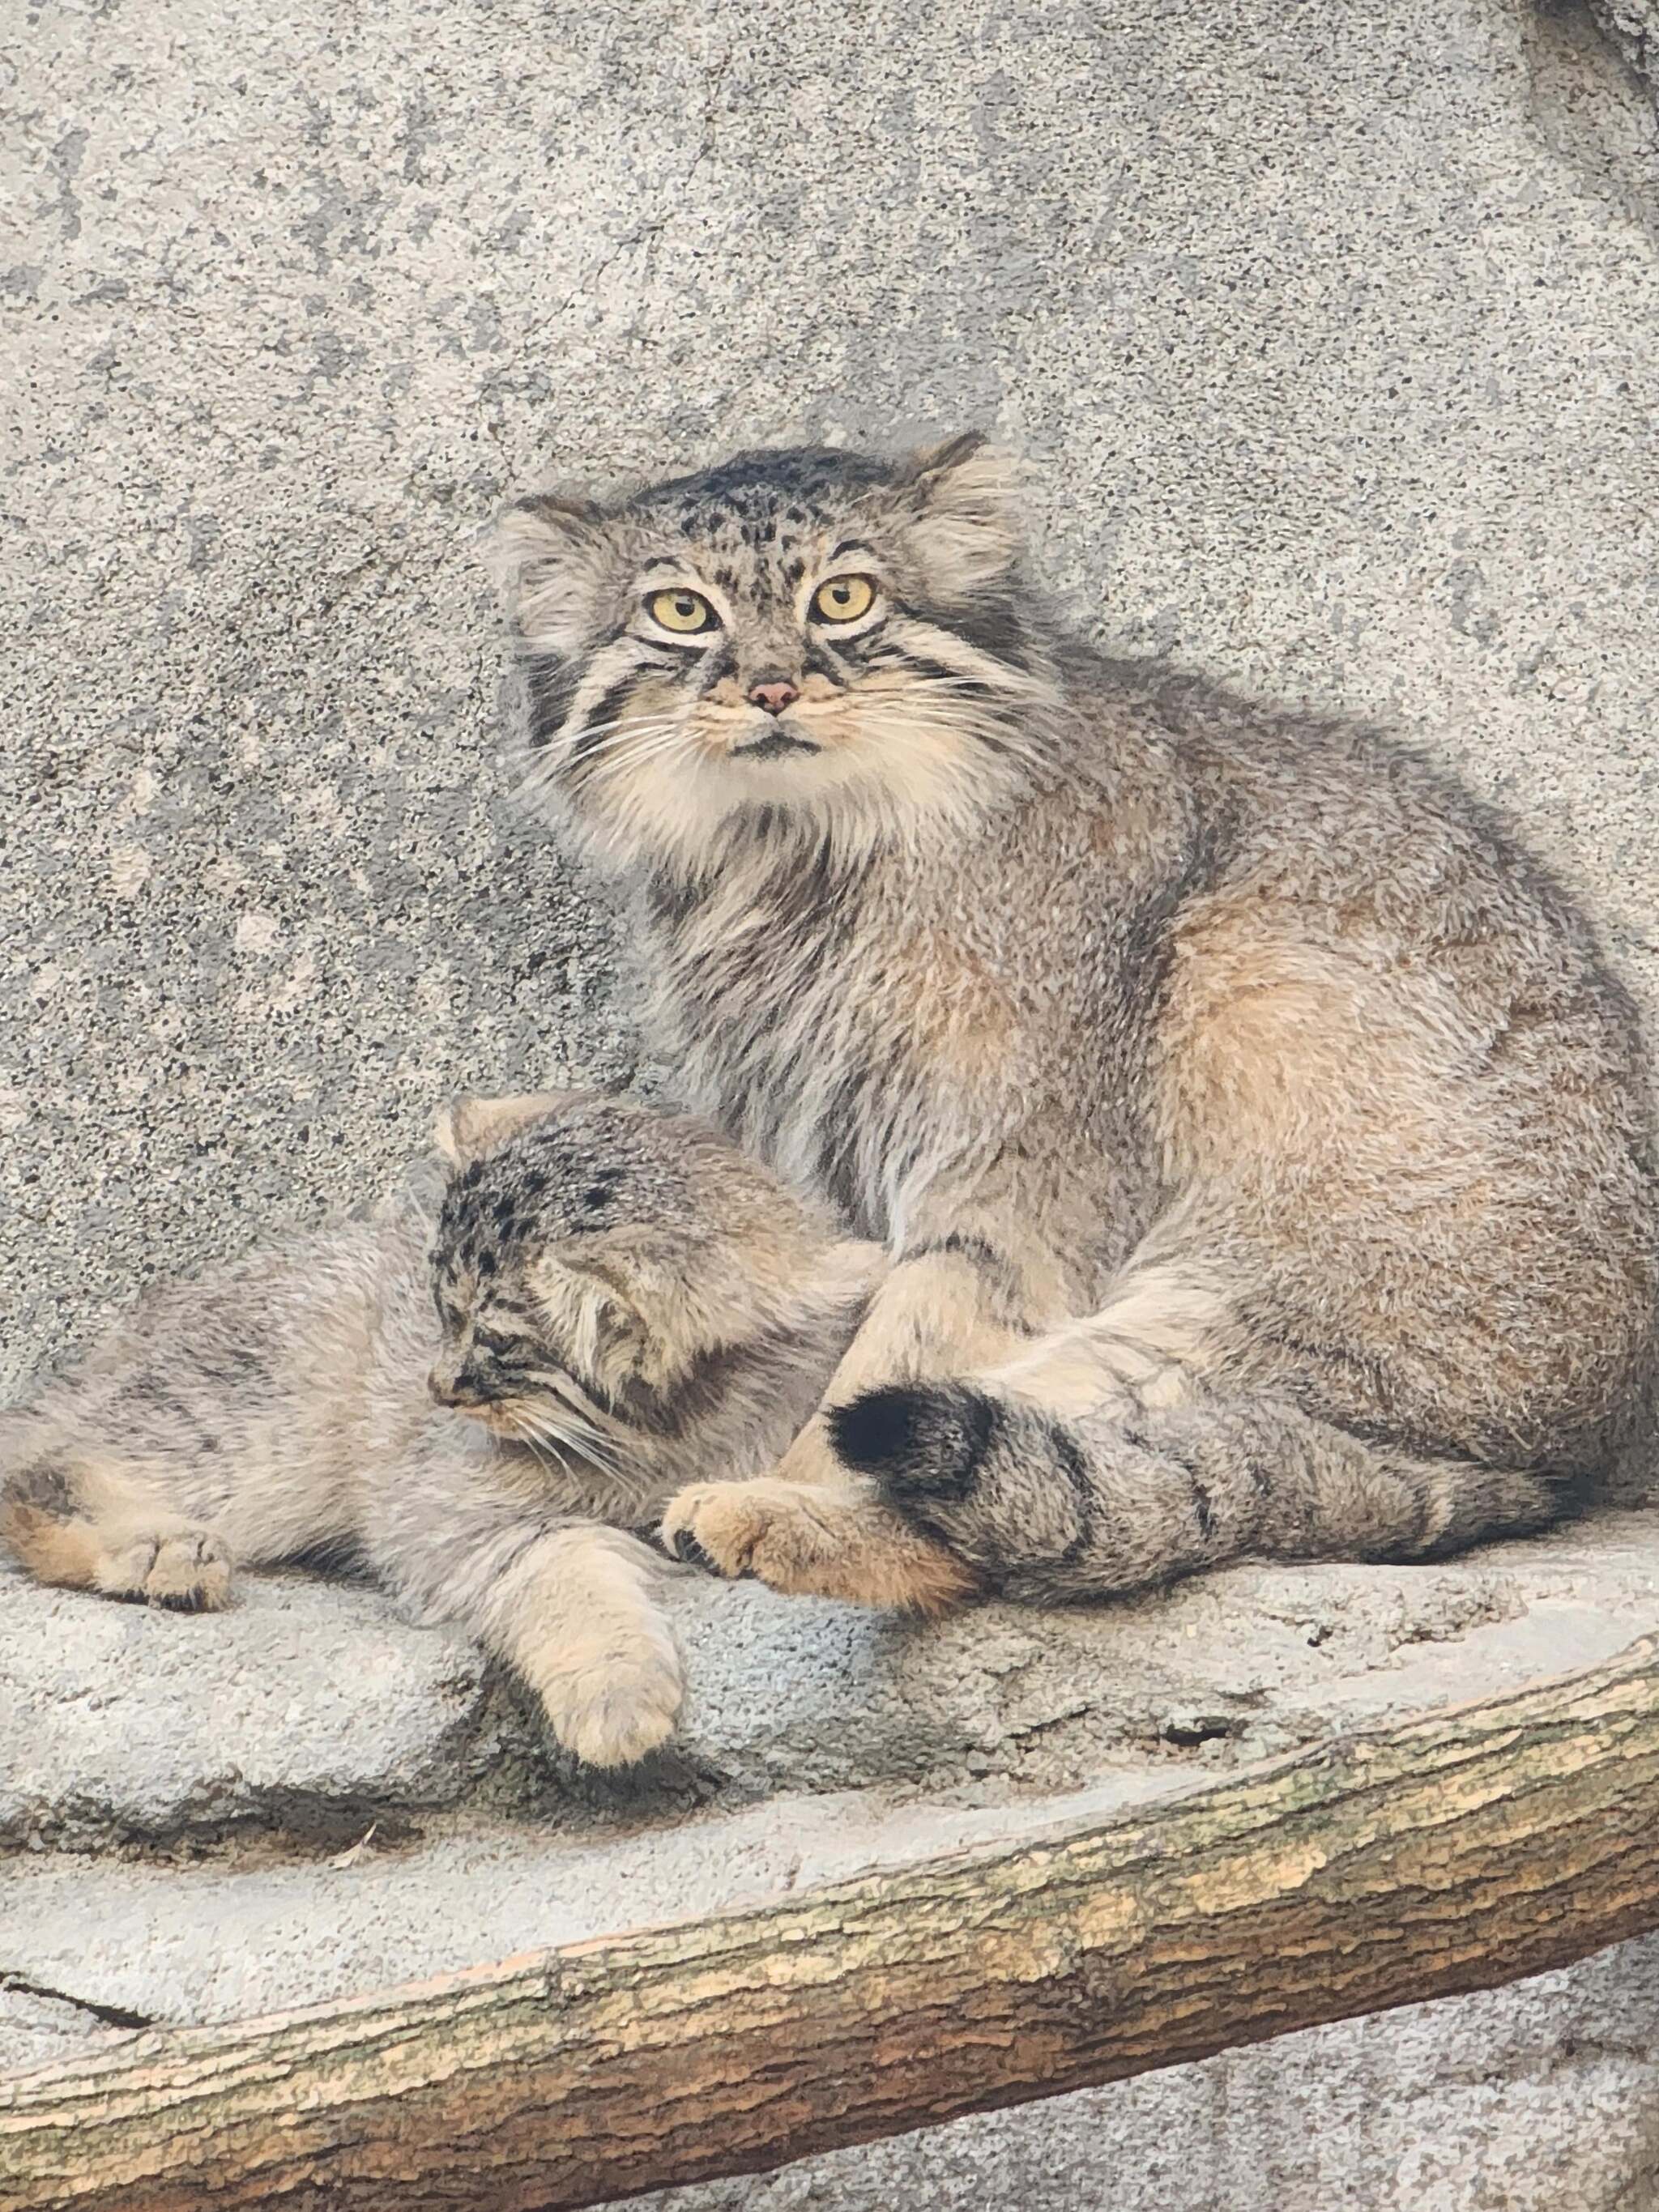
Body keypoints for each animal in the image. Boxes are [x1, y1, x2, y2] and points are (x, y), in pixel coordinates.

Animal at [0, 1097, 876, 1769]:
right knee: (40, 1464)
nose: (435, 1385)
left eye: (493, 1340)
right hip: (251, 1425)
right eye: (439, 1313)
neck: (673, 1433)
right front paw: (614, 1684)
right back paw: (157, 1548)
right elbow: (561, 1569)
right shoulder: (442, 1512)